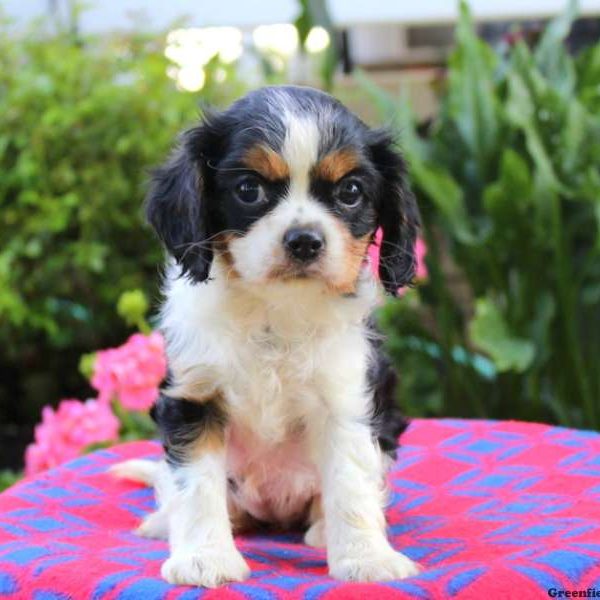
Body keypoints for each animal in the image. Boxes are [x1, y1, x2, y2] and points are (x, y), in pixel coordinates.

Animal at [113, 84, 422, 584]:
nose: (304, 240)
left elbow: (351, 483)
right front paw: (205, 558)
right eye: (249, 190)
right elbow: (196, 486)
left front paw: (366, 558)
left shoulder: (345, 398)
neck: (275, 309)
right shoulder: (194, 397)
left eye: (351, 192)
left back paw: (322, 530)